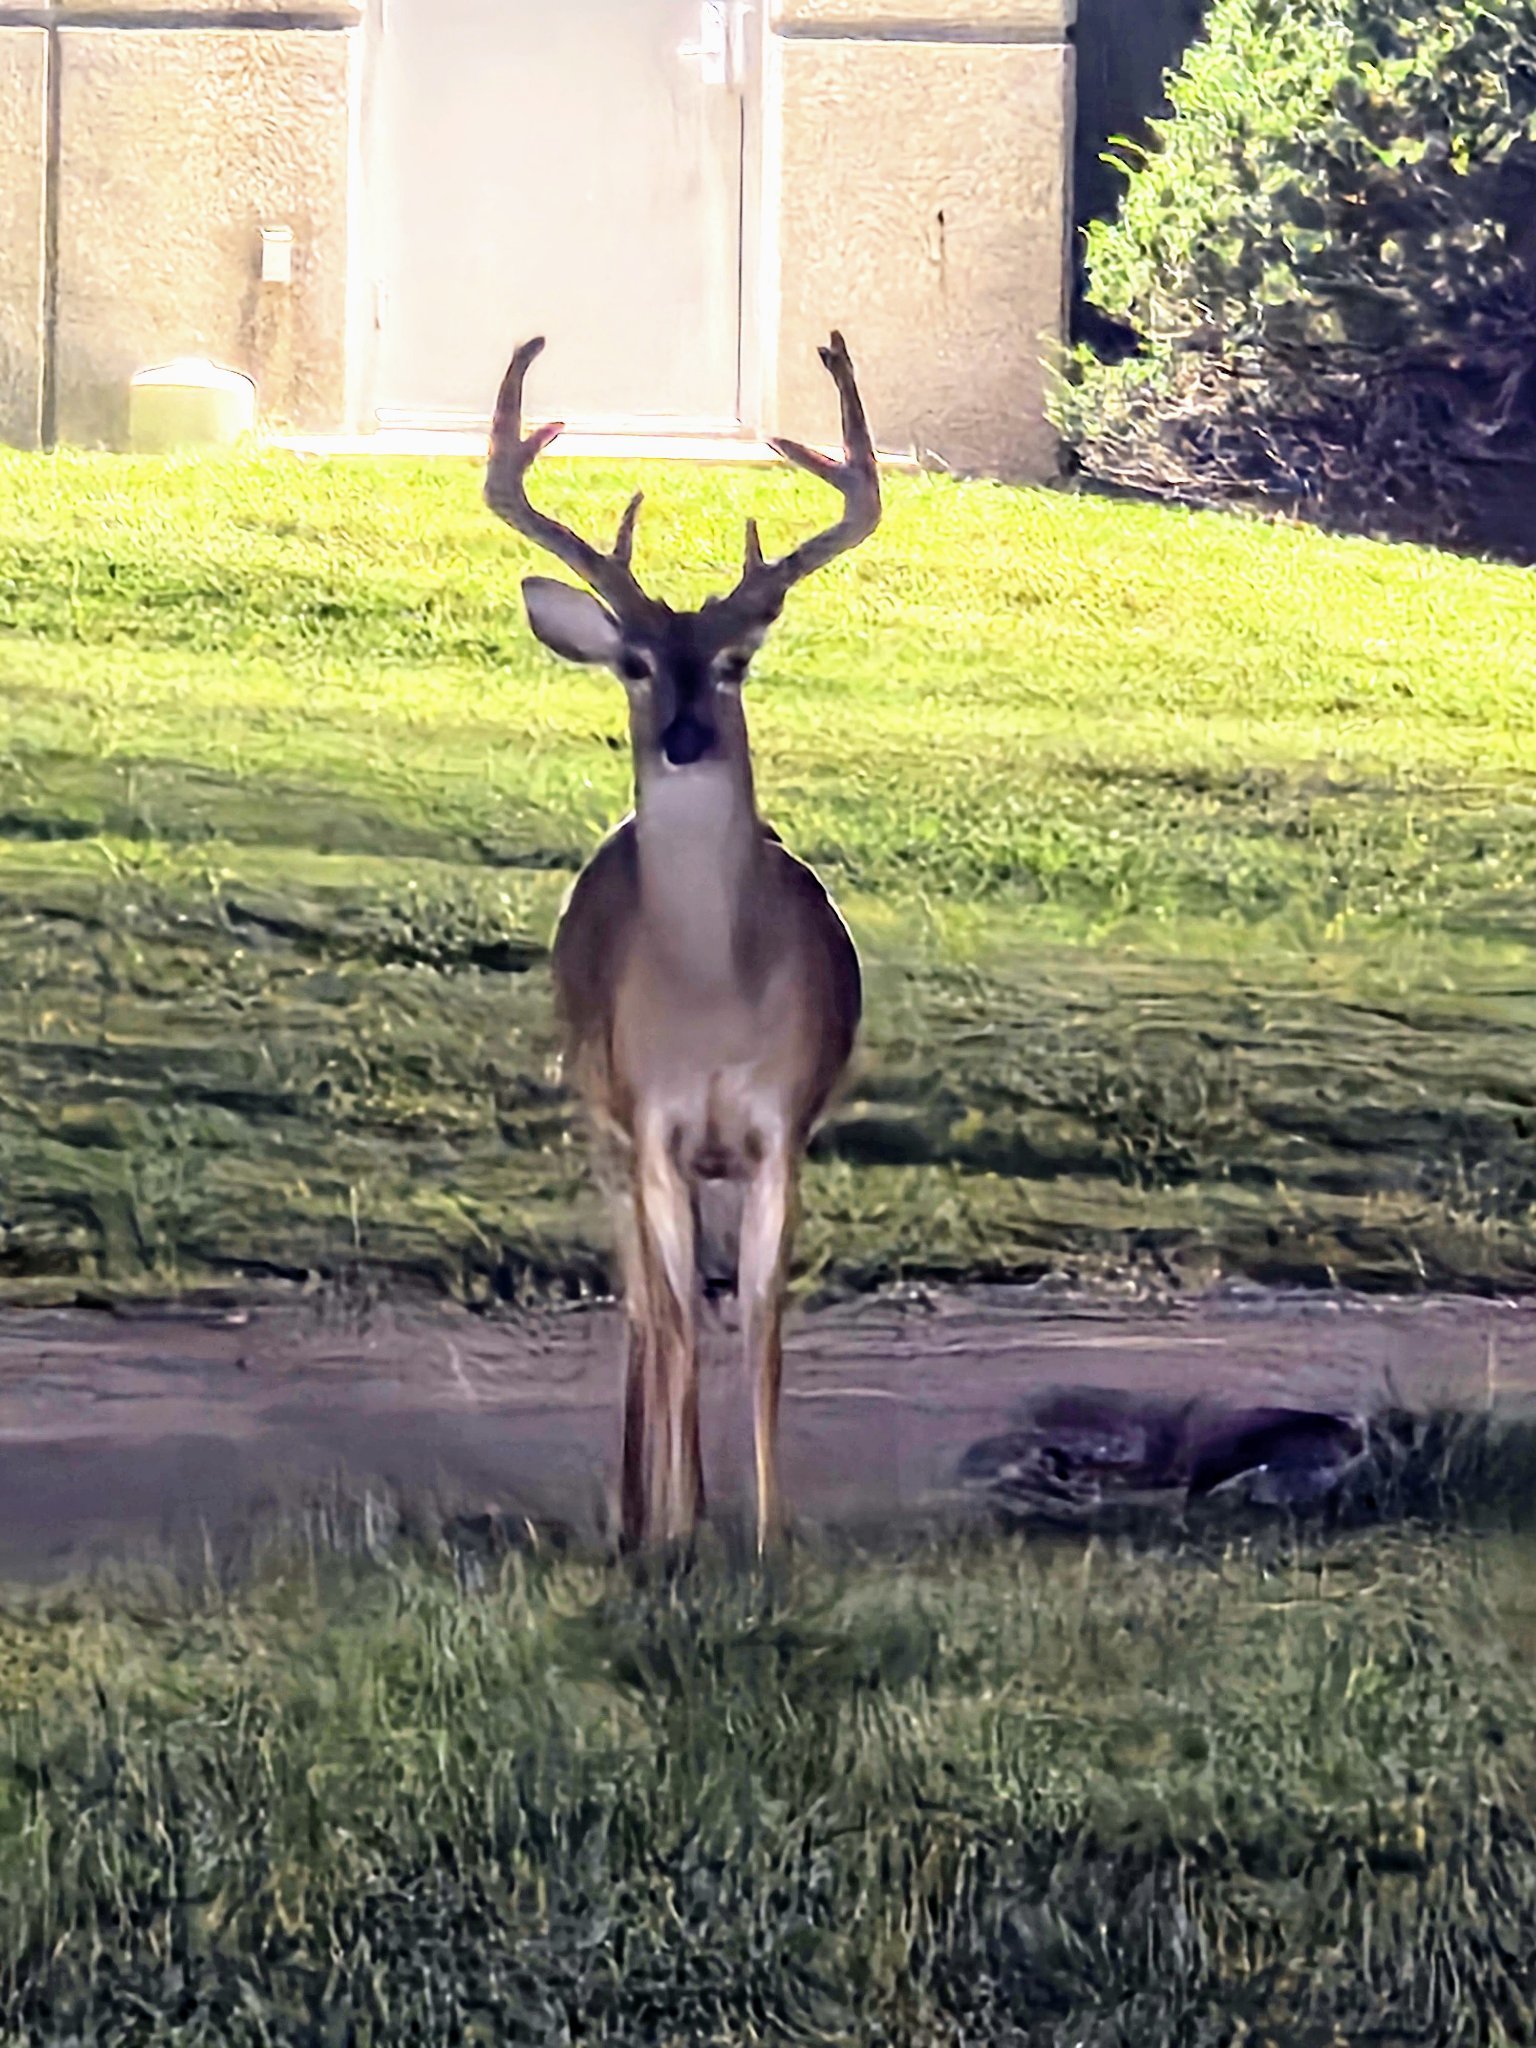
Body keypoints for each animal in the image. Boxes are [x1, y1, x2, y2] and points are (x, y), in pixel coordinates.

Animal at [487, 331, 884, 1548]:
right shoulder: (652, 1120)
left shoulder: (778, 1125)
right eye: (634, 664)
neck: (714, 998)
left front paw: (768, 1536)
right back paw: (637, 1516)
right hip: (595, 1108)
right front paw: (686, 1527)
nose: (685, 737)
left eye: (735, 662)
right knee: (642, 1303)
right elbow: (671, 1315)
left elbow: (759, 1322)